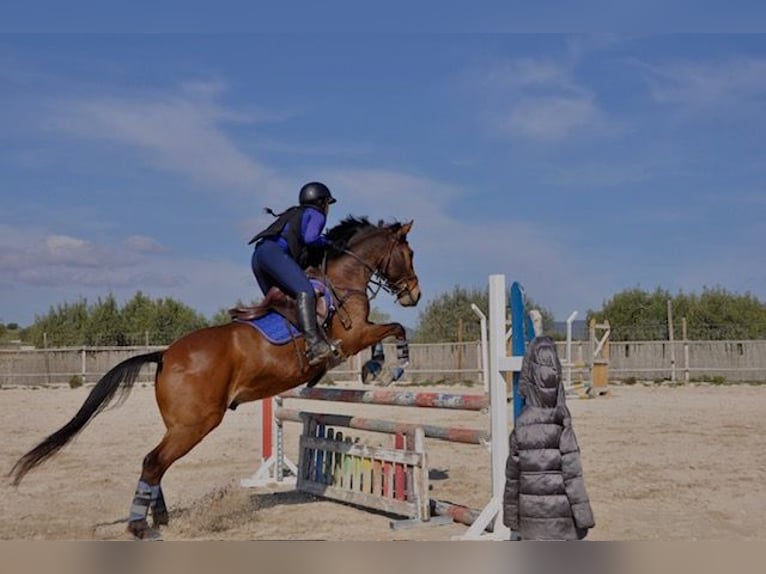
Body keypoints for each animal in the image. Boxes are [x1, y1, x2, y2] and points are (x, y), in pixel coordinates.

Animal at [9, 216, 421, 539]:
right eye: (411, 254)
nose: (414, 294)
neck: (342, 278)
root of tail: (165, 355)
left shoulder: (358, 335)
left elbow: (386, 332)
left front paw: (375, 368)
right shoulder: (350, 337)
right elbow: (394, 329)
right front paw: (390, 367)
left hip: (181, 424)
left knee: (155, 462)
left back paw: (158, 516)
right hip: (198, 422)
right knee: (154, 462)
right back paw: (139, 525)